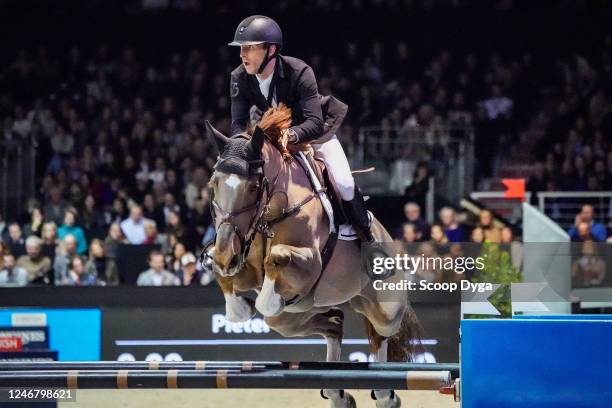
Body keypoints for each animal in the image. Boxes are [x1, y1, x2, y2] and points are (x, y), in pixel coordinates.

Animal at [204, 106, 420, 408]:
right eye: (213, 183)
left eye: (254, 186)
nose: (227, 256)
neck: (273, 212)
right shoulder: (243, 263)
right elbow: (221, 272)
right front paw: (240, 307)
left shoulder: (310, 264)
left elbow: (277, 258)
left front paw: (266, 300)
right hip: (293, 321)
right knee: (334, 323)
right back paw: (338, 393)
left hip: (385, 310)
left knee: (380, 336)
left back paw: (385, 395)